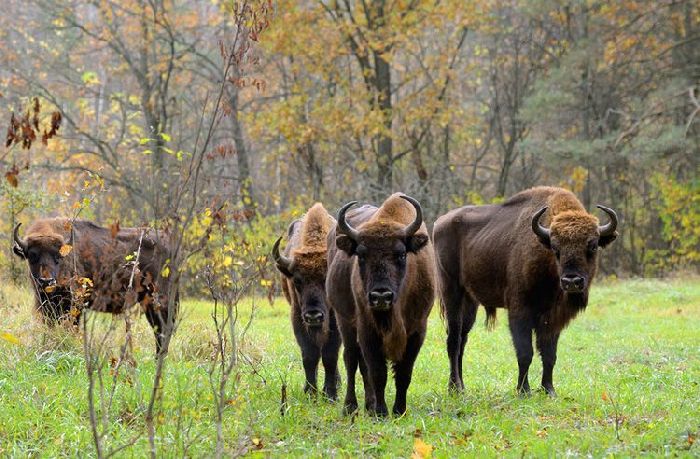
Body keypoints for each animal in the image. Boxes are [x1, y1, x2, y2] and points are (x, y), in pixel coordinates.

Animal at [13, 219, 176, 356]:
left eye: (58, 257)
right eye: (32, 255)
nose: (46, 281)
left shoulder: (74, 305)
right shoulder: (47, 306)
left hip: (160, 300)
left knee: (163, 329)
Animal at [270, 203, 342, 400]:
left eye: (326, 279)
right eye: (297, 281)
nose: (313, 315)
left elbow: (330, 356)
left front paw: (330, 394)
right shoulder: (298, 318)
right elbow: (310, 356)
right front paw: (310, 393)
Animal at [326, 194, 434, 416]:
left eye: (402, 254)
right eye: (361, 255)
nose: (381, 296)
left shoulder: (417, 330)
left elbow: (404, 372)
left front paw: (399, 410)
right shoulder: (367, 329)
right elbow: (377, 372)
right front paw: (381, 413)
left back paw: (369, 405)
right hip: (344, 321)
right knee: (351, 360)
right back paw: (351, 407)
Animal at [432, 187, 616, 396]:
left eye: (592, 246)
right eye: (555, 248)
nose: (572, 281)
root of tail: (440, 222)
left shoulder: (552, 319)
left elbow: (549, 355)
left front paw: (549, 390)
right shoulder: (520, 312)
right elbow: (525, 353)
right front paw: (523, 391)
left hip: (470, 302)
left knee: (462, 340)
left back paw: (462, 386)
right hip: (451, 292)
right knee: (453, 341)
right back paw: (454, 388)